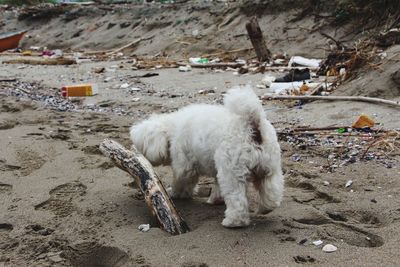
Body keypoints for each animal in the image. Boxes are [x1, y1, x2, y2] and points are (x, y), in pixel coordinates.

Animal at [130, 86, 282, 228]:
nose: (135, 151)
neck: (171, 130)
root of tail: (251, 123)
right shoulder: (217, 169)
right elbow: (217, 185)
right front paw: (216, 199)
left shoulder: (184, 166)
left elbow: (182, 181)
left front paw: (175, 193)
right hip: (269, 168)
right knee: (272, 191)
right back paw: (266, 208)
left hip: (232, 172)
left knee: (237, 200)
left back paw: (233, 222)